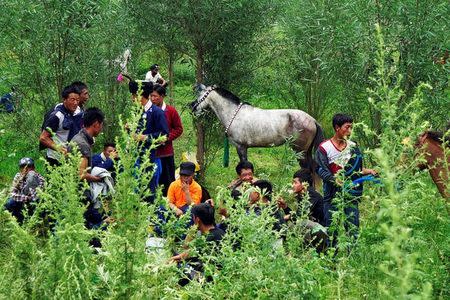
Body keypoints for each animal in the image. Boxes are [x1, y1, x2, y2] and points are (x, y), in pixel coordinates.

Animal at [189, 84, 324, 172]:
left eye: (201, 95)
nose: (192, 107)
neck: (234, 113)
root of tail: (312, 120)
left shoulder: (241, 147)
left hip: (300, 151)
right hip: (306, 151)